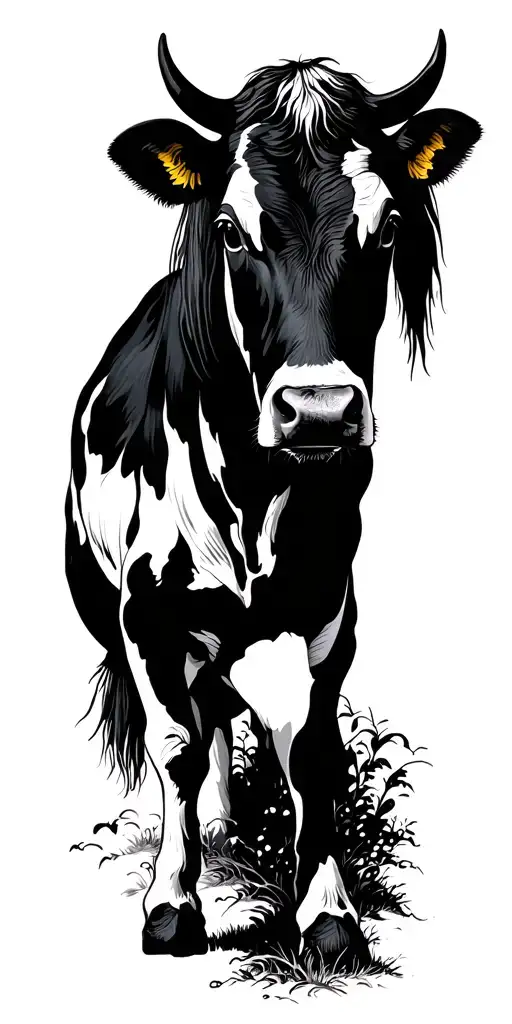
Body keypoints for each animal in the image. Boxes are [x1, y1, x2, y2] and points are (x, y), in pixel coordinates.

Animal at [66, 30, 480, 966]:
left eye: (387, 226)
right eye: (229, 230)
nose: (319, 409)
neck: (253, 500)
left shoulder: (328, 607)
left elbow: (314, 754)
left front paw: (328, 917)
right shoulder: (145, 614)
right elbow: (177, 747)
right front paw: (172, 905)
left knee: (236, 712)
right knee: (201, 722)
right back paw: (211, 838)